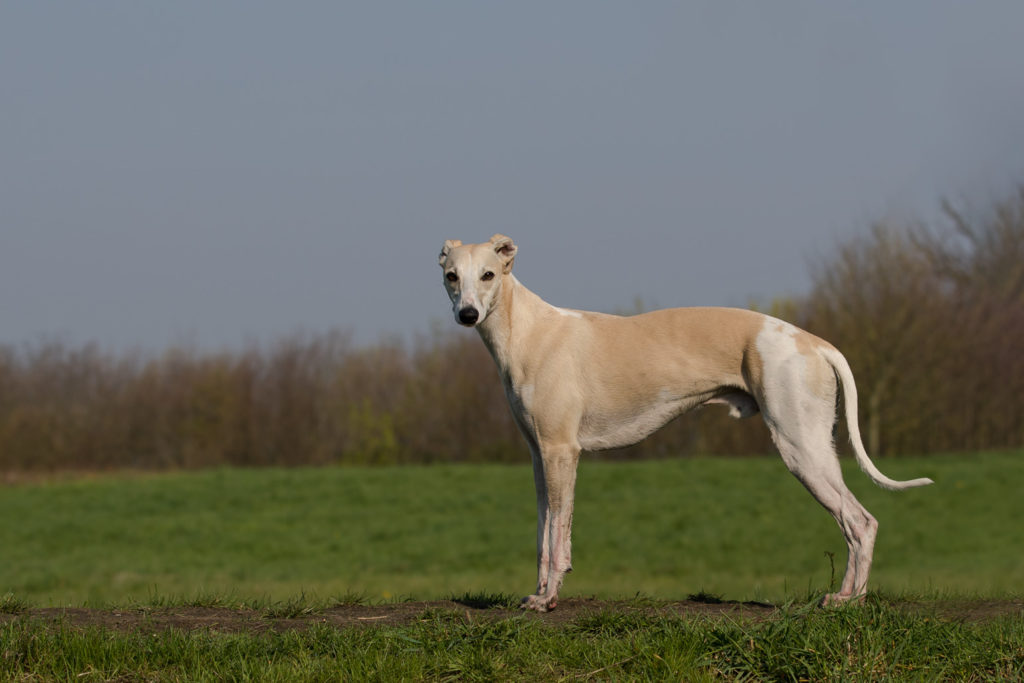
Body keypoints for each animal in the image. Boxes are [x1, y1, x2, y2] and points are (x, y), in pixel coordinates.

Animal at [436, 233, 933, 610]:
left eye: (489, 274)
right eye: (451, 275)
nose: (468, 315)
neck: (528, 331)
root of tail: (815, 342)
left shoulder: (562, 452)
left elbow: (557, 536)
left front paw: (548, 599)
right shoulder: (541, 457)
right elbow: (545, 533)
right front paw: (537, 593)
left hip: (801, 447)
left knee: (861, 521)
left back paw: (852, 602)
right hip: (813, 445)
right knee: (853, 523)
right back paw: (845, 595)